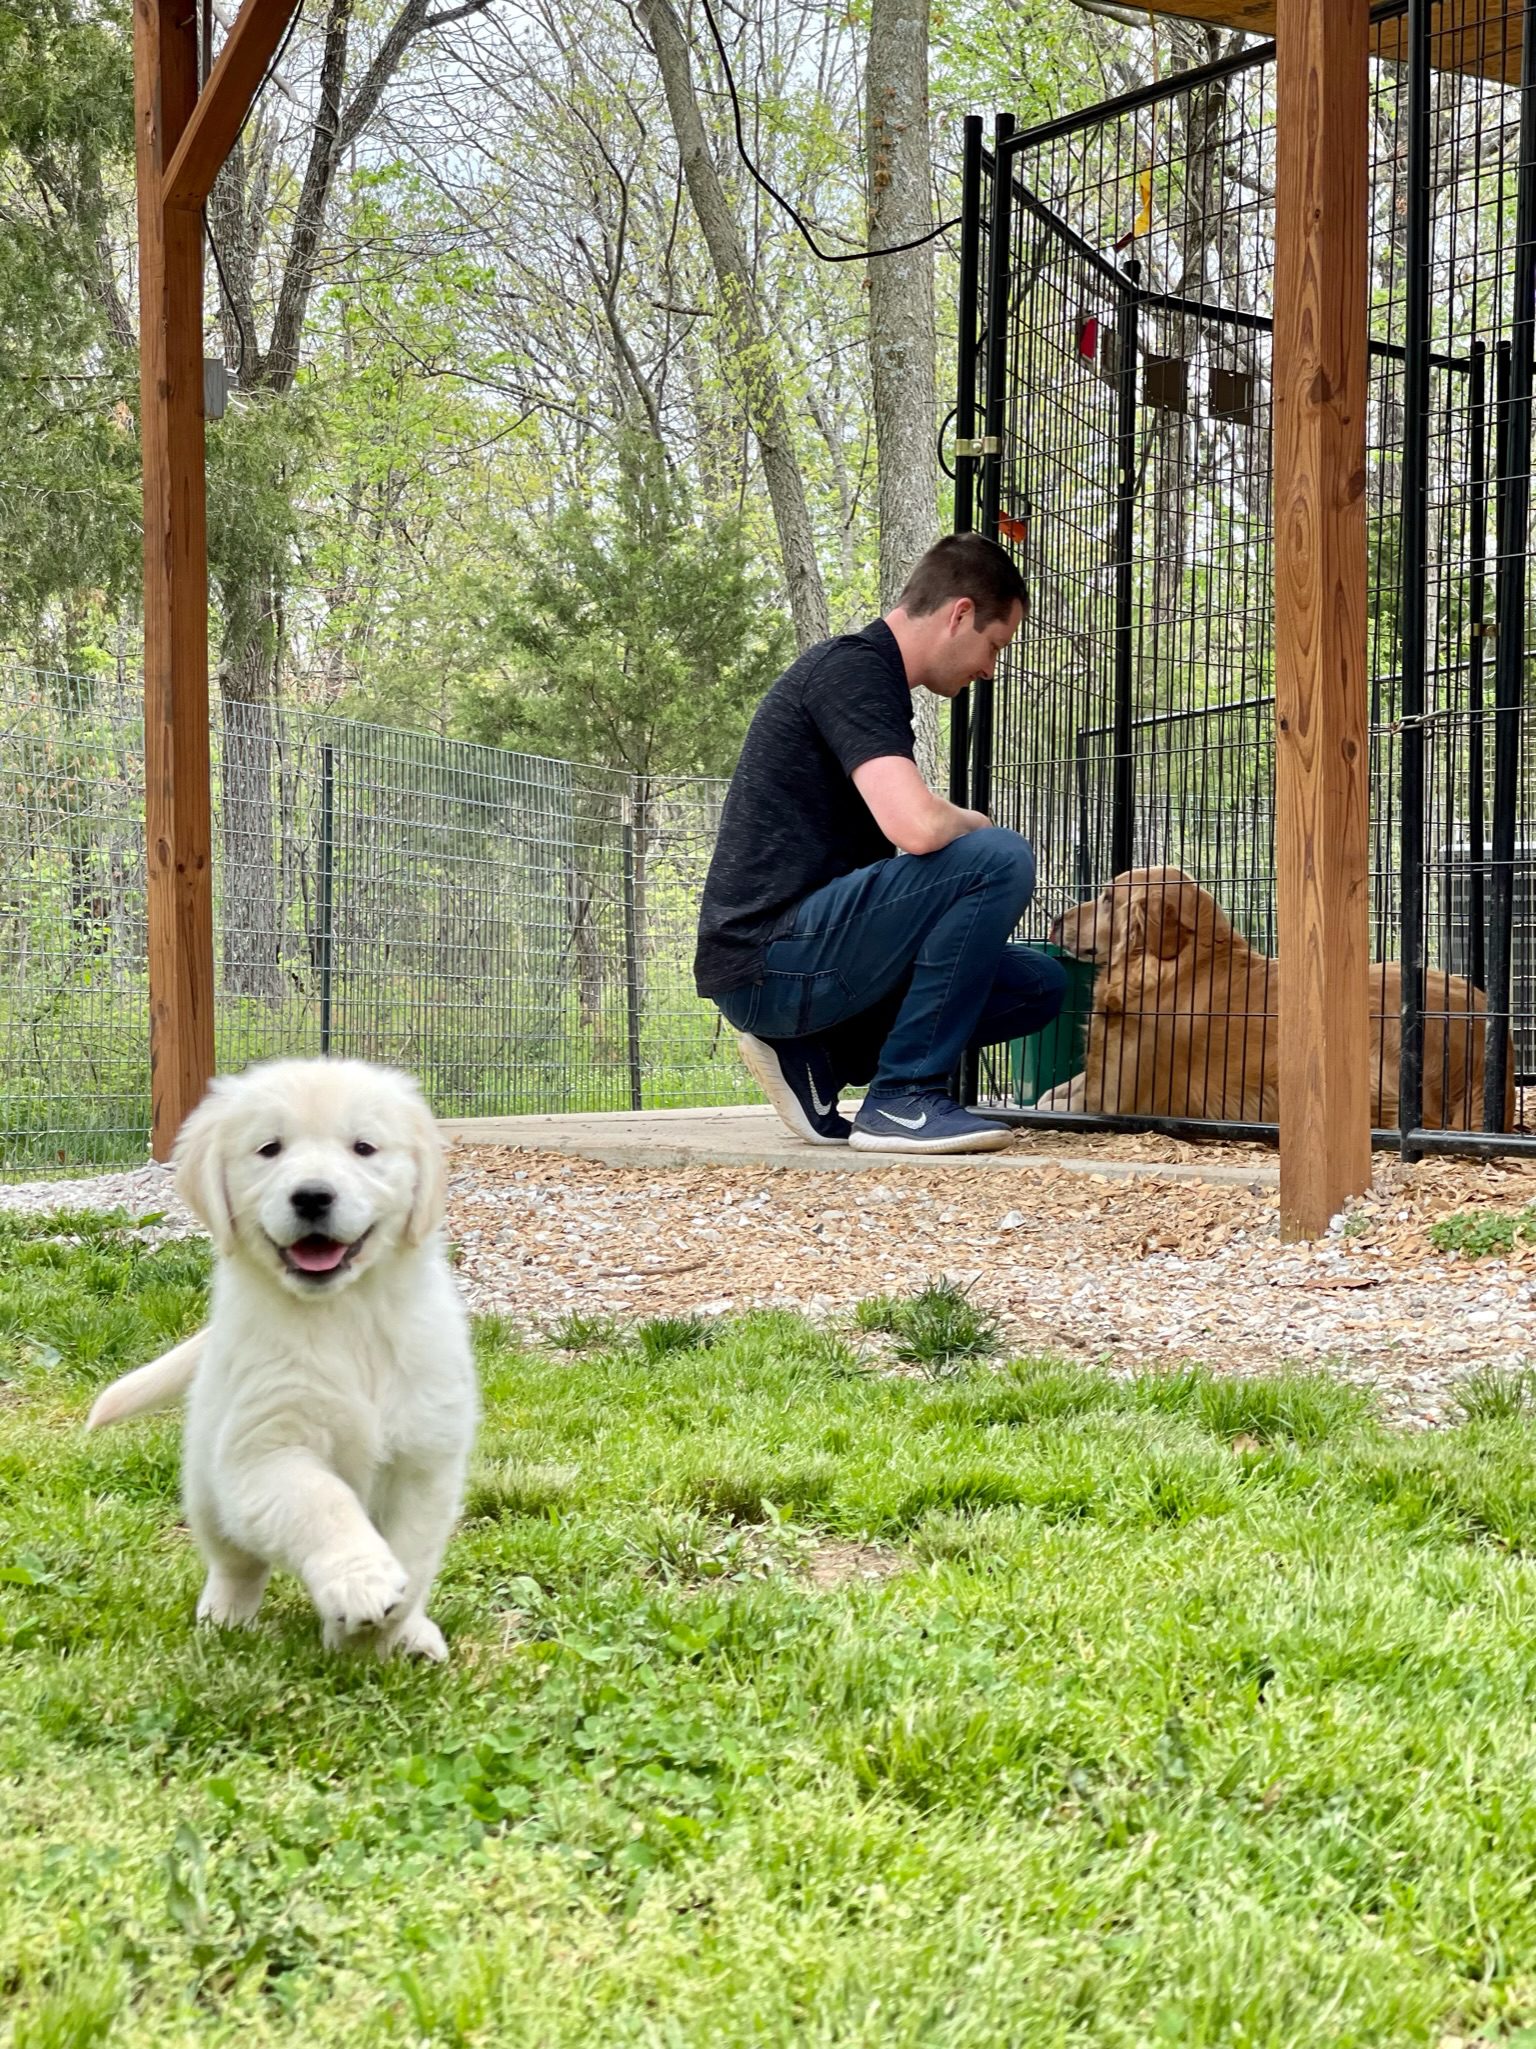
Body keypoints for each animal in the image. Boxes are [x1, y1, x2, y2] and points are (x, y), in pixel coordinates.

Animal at [83, 1065, 479, 1655]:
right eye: (269, 1149)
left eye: (364, 1147)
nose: (312, 1196)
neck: (345, 1314)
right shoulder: (264, 1451)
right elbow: (324, 1503)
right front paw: (361, 1585)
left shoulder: (424, 1457)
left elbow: (413, 1553)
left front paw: (378, 1636)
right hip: (208, 1487)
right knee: (236, 1563)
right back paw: (224, 1619)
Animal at [1040, 856, 1523, 1131]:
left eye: (1107, 898)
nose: (1055, 921)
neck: (1173, 965)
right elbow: (1049, 1093)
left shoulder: (1115, 1095)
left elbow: (1057, 1103)